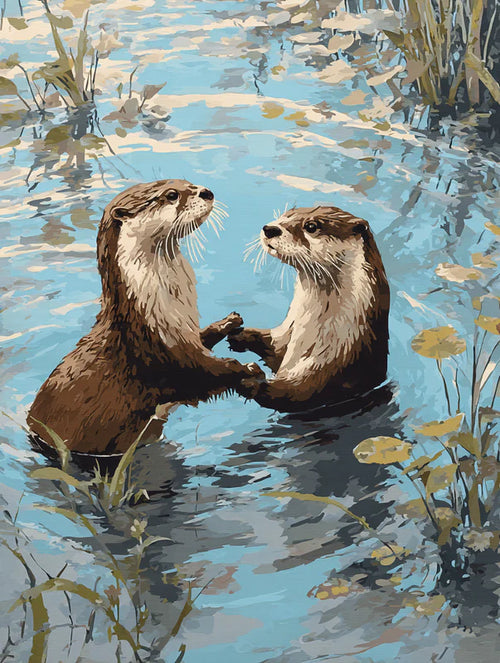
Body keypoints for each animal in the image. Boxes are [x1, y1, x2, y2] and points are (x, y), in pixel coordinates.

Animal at [28, 179, 262, 455]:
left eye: (187, 182)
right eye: (172, 195)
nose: (207, 192)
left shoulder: (181, 332)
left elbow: (203, 339)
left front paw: (227, 322)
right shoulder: (160, 350)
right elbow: (201, 373)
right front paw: (245, 368)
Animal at [228, 205, 389, 412]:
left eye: (311, 226)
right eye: (285, 215)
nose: (269, 229)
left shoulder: (332, 368)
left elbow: (296, 393)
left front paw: (255, 381)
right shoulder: (286, 336)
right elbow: (273, 347)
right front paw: (240, 332)